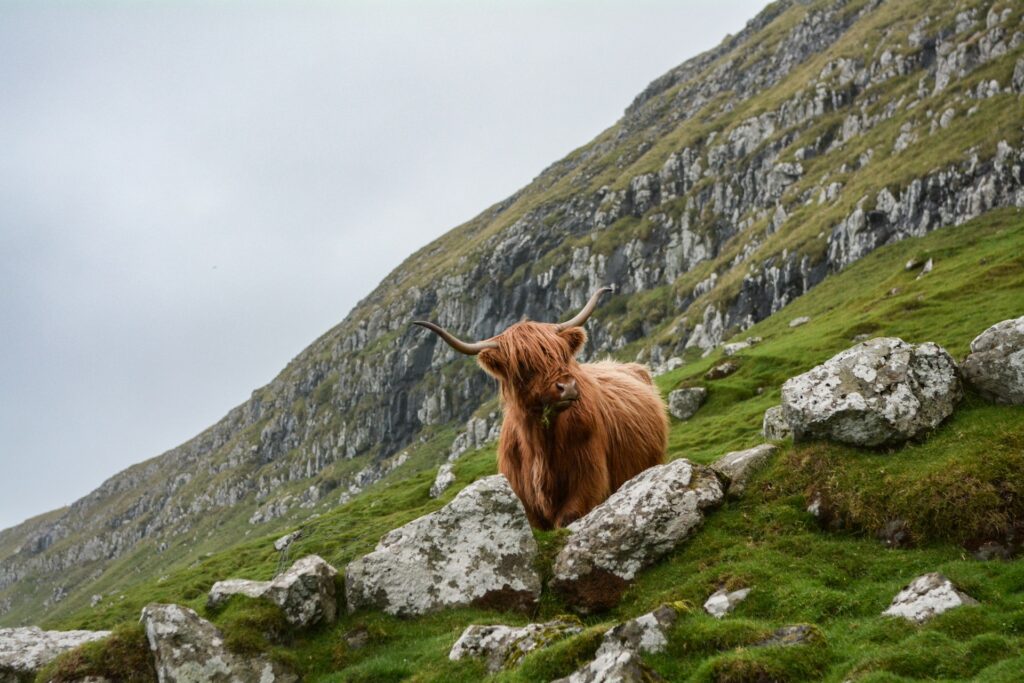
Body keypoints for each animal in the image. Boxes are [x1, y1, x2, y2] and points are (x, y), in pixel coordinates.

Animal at [411, 286, 667, 532]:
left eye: (562, 354)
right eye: (524, 365)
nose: (568, 387)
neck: (540, 446)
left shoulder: (588, 482)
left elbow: (568, 518)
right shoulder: (524, 500)